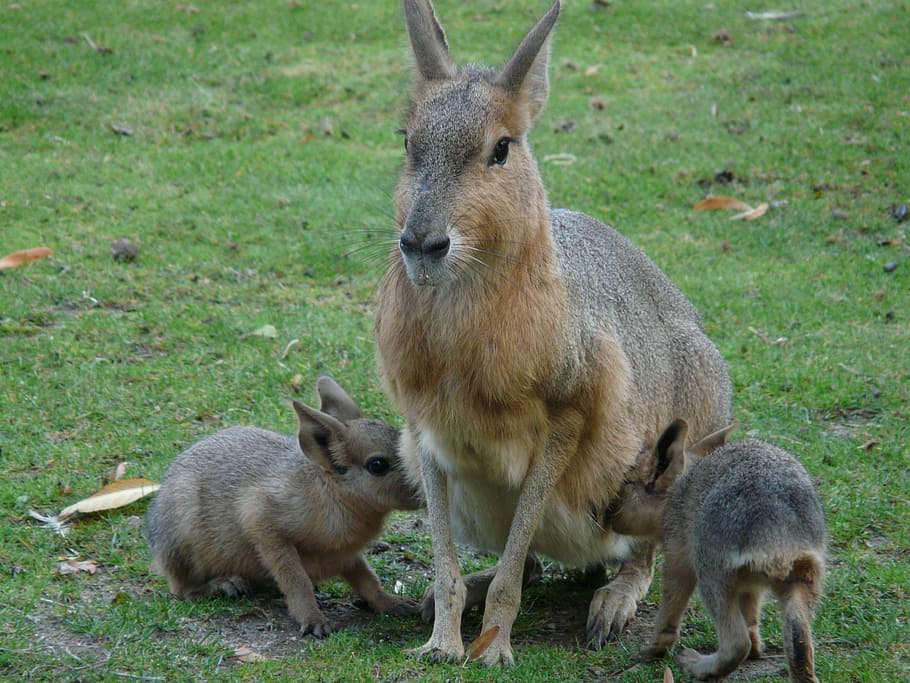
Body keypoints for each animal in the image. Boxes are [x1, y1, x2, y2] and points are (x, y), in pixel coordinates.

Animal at [145, 376, 423, 637]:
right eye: (377, 465)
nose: (423, 488)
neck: (334, 499)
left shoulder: (347, 554)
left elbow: (367, 579)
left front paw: (392, 602)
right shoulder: (262, 520)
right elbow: (295, 579)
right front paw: (312, 619)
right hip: (182, 549)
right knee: (182, 589)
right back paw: (224, 584)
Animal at [373, 0, 733, 666]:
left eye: (501, 149)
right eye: (409, 142)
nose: (422, 244)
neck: (461, 308)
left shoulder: (568, 413)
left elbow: (520, 554)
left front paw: (493, 649)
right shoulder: (422, 427)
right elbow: (450, 561)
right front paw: (442, 641)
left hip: (663, 464)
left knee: (642, 555)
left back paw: (613, 604)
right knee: (533, 560)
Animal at [608, 420, 828, 683]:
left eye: (626, 484)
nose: (605, 512)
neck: (679, 487)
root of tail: (778, 531)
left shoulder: (678, 556)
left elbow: (671, 607)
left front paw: (654, 650)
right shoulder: (750, 587)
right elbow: (752, 617)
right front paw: (758, 649)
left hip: (712, 576)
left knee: (736, 643)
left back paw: (696, 664)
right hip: (805, 581)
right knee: (796, 639)